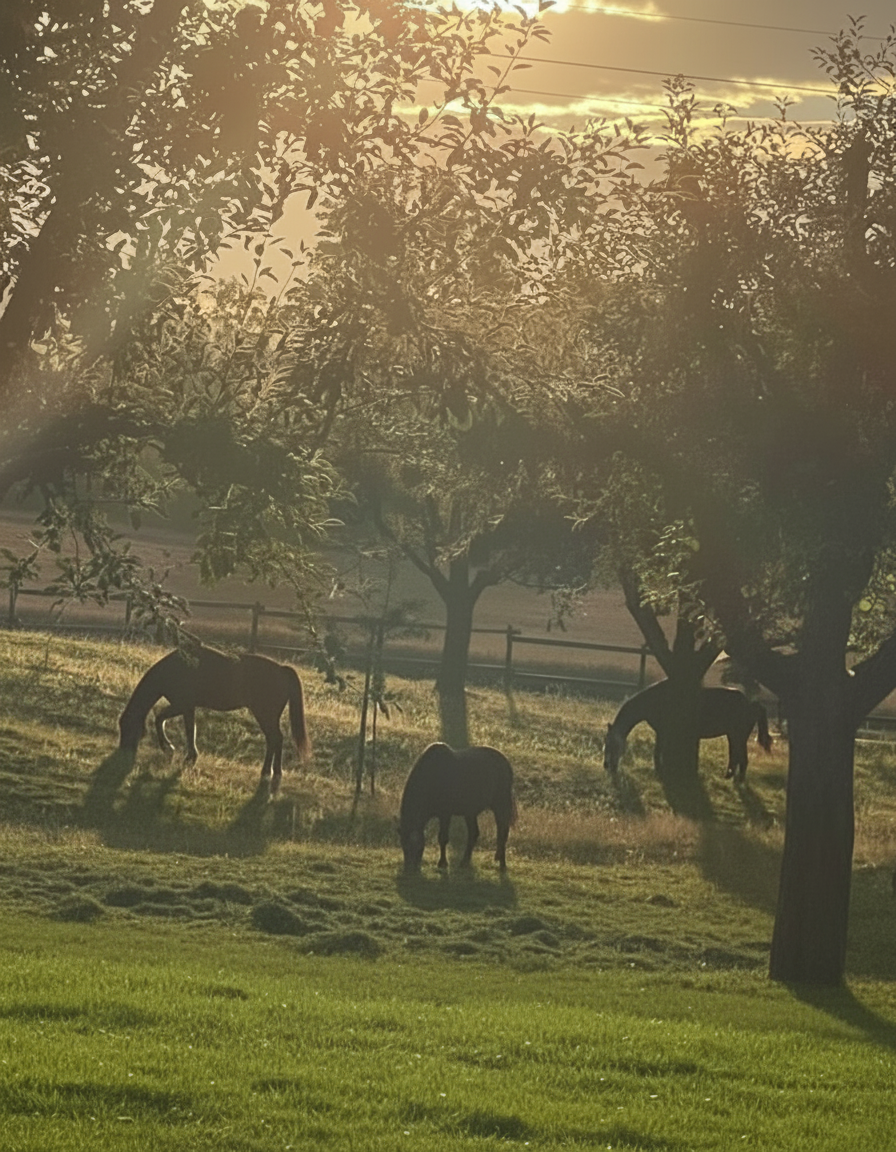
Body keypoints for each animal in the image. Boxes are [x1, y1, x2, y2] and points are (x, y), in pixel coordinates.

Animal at [118, 643, 310, 791]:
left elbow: (169, 722)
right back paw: (275, 772)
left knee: (274, 739)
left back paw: (267, 772)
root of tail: (282, 670)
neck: (176, 668)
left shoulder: (183, 705)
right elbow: (184, 727)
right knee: (277, 739)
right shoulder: (186, 707)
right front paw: (185, 755)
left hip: (265, 715)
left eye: (127, 727)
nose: (122, 752)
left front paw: (173, 750)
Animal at [398, 743, 517, 872]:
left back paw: (502, 863)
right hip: (470, 813)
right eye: (403, 845)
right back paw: (465, 861)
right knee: (474, 833)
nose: (409, 869)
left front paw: (442, 863)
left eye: (413, 845)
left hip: (501, 806)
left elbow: (443, 838)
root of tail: (505, 762)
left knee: (502, 833)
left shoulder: (445, 814)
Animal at [603, 681, 772, 782]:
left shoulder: (662, 732)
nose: (607, 766)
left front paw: (659, 770)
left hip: (738, 735)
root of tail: (751, 704)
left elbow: (657, 752)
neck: (656, 700)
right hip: (734, 735)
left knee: (741, 757)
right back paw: (731, 776)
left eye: (612, 745)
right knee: (737, 756)